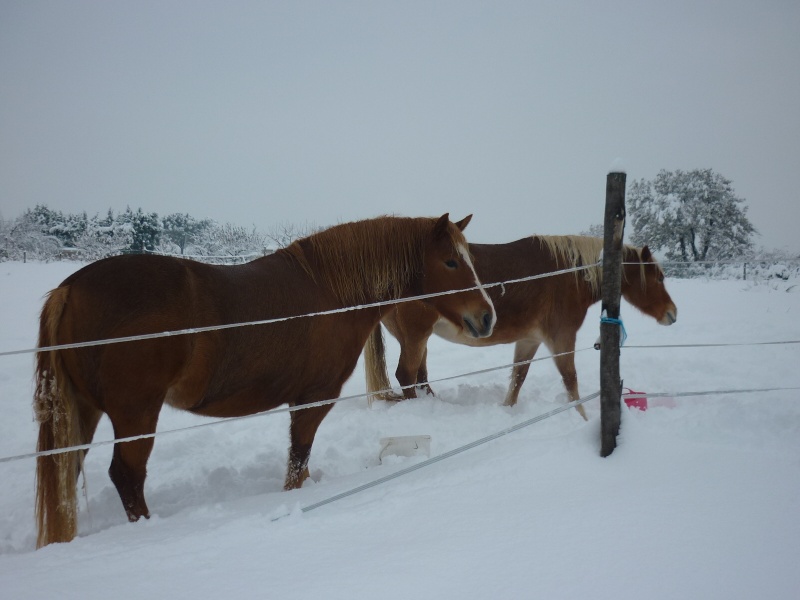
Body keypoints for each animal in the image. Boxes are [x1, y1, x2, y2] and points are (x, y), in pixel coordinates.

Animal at [36, 213, 494, 548]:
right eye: (450, 261)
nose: (487, 316)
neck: (329, 294)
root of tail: (69, 288)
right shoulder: (313, 399)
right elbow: (297, 461)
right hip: (136, 415)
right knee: (126, 477)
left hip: (86, 413)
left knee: (69, 473)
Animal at [366, 234, 680, 418]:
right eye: (659, 277)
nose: (672, 313)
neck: (570, 274)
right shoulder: (561, 338)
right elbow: (570, 381)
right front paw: (582, 417)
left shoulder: (530, 340)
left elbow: (518, 376)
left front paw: (507, 412)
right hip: (416, 335)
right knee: (406, 374)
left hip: (419, 338)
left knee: (420, 376)